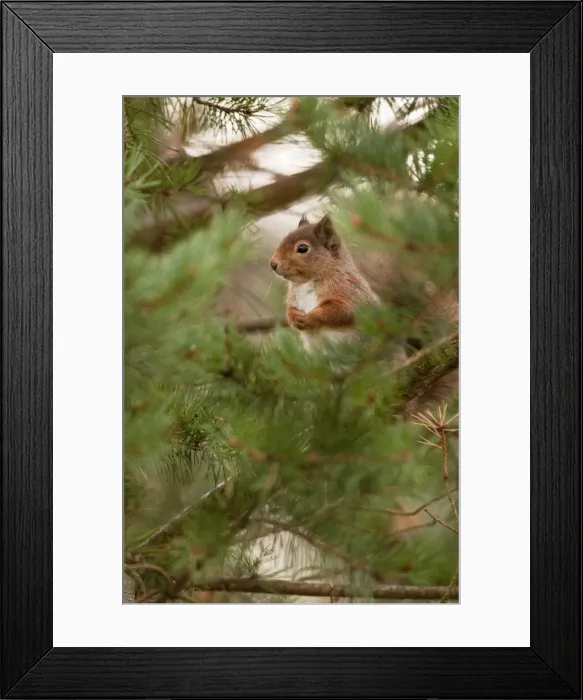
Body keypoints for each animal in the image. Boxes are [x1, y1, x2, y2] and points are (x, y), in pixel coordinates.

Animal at [270, 214, 380, 352]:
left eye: (302, 248)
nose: (273, 264)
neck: (307, 282)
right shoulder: (293, 298)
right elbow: (290, 311)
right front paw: (294, 316)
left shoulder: (350, 290)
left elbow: (343, 311)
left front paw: (311, 317)